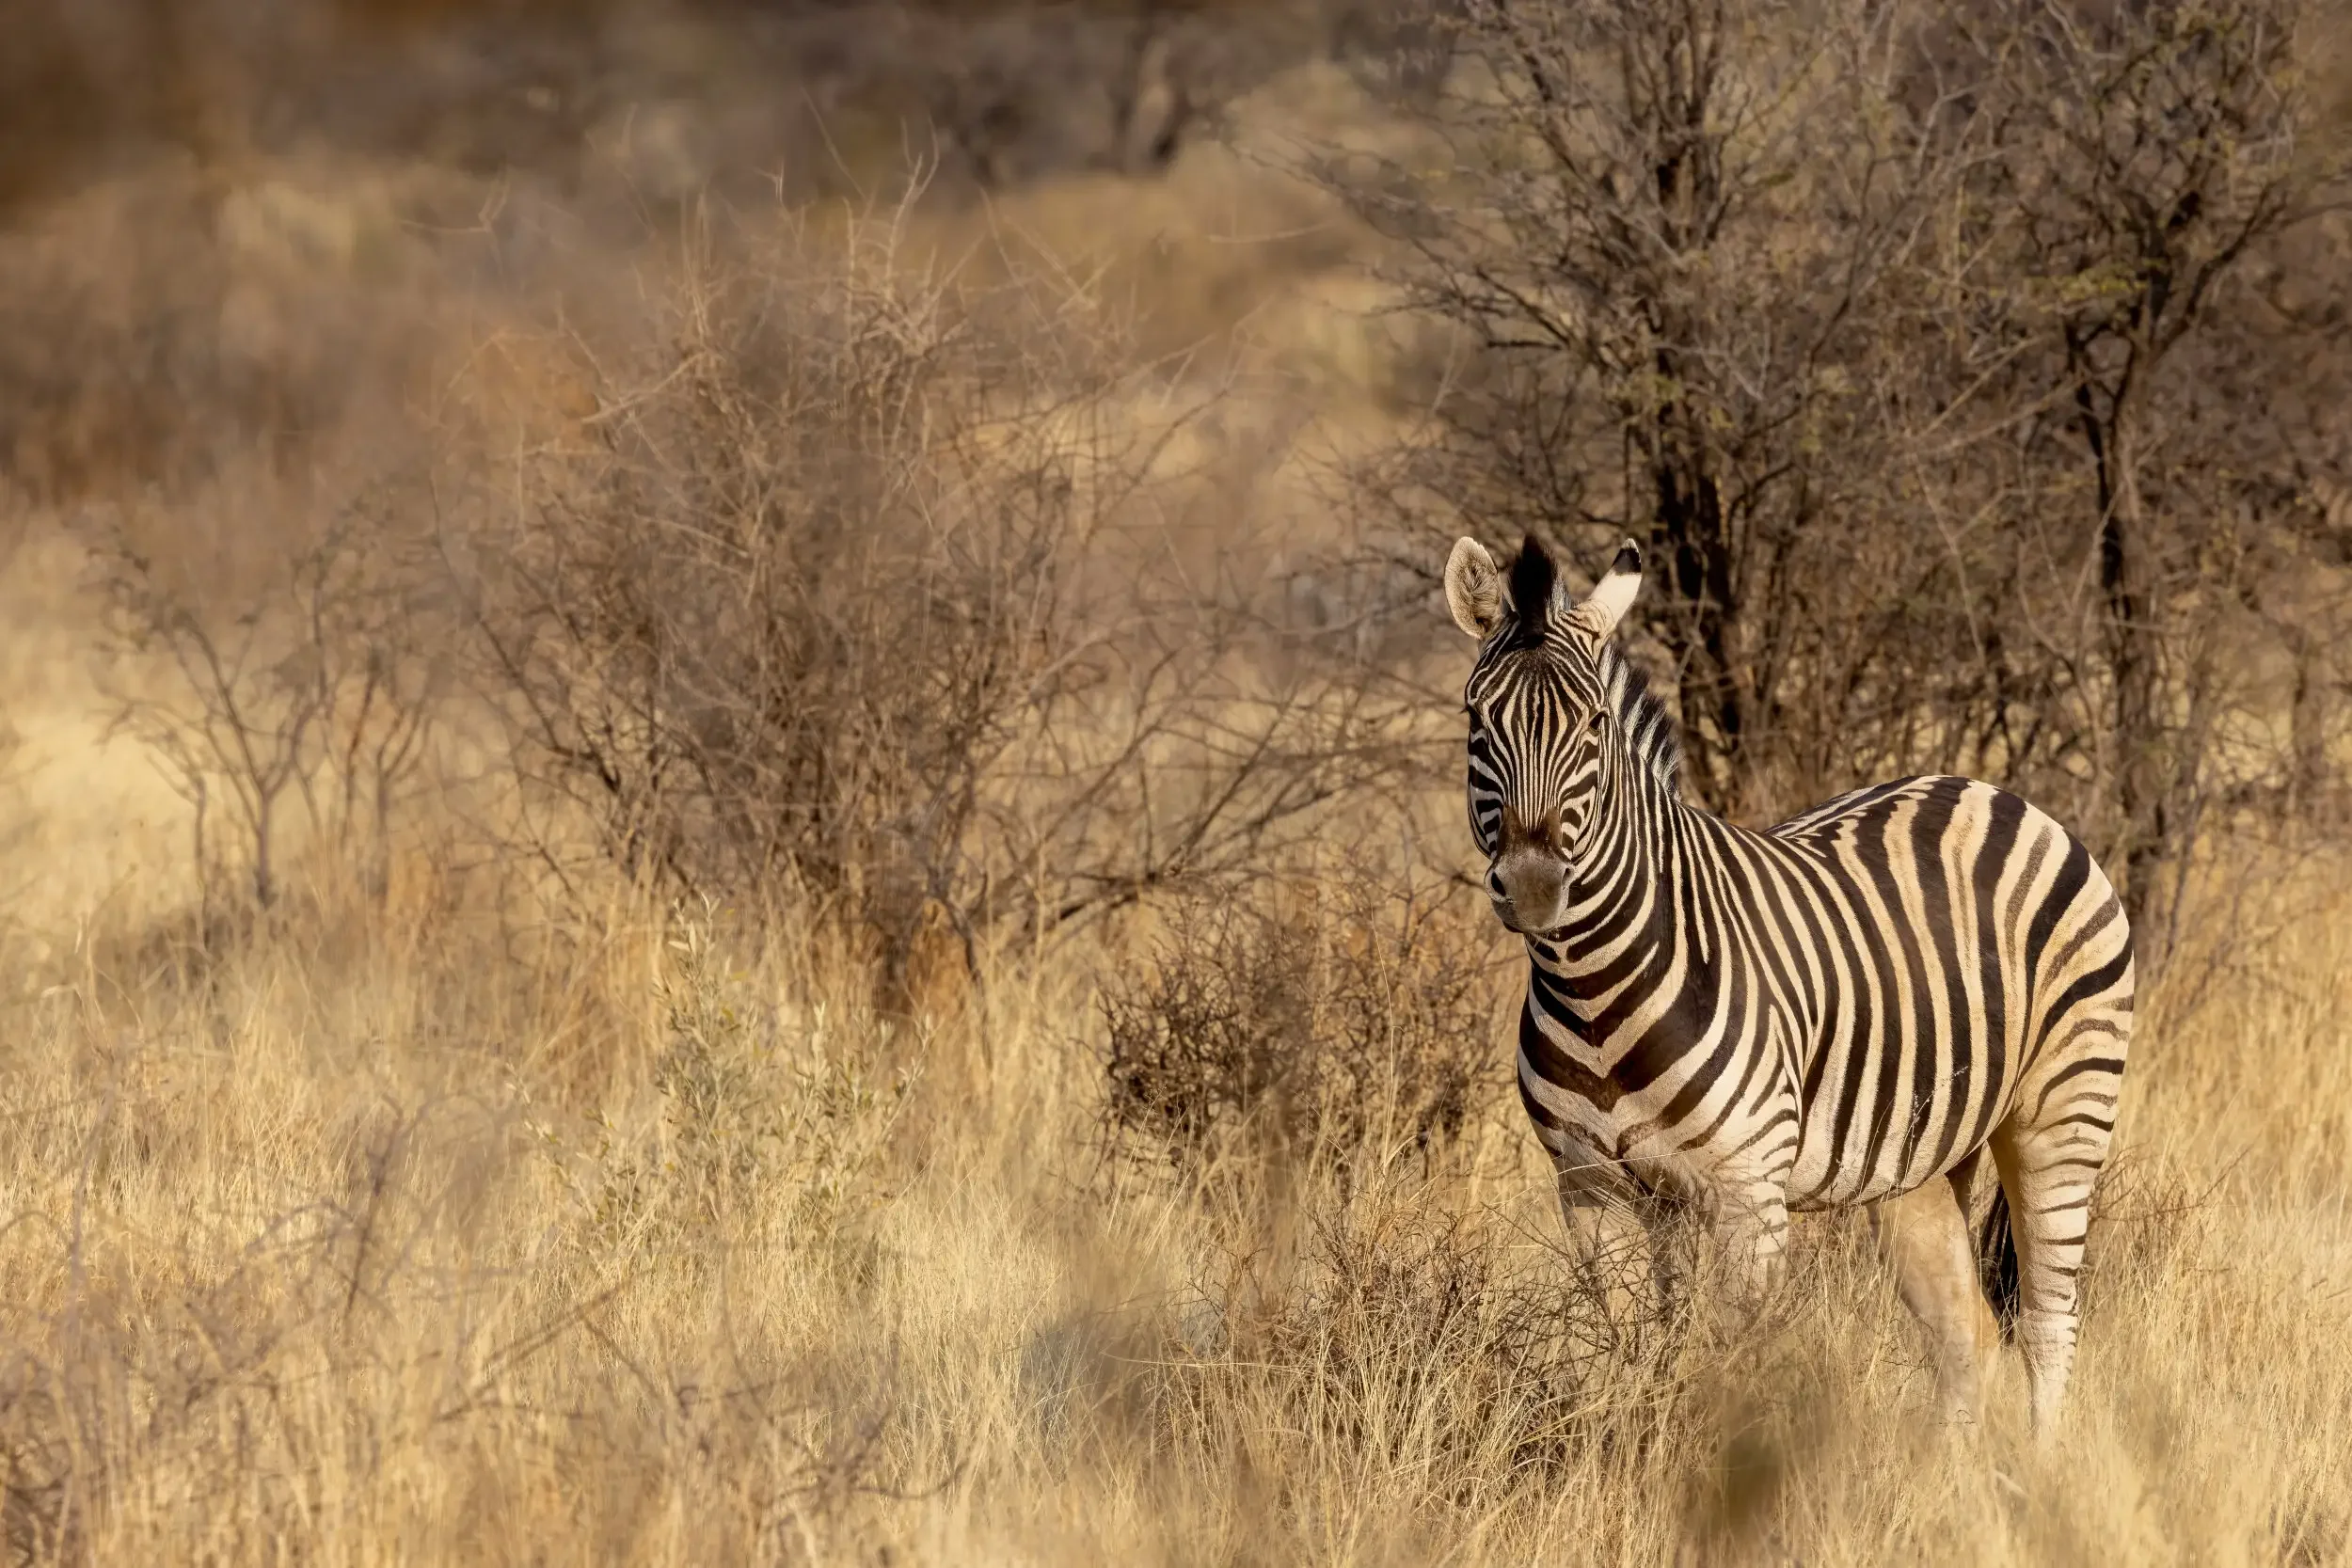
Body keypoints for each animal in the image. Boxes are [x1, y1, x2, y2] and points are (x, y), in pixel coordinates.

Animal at [1443, 532, 2134, 1436]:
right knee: (1966, 1335)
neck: (1593, 991)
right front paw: (1636, 1457)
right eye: (1475, 721)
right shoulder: (1594, 1188)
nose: (1530, 887)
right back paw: (1957, 1481)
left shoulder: (1749, 1197)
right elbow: (1644, 1358)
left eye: (1593, 724)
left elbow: (1725, 1366)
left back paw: (2042, 1472)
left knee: (2051, 1326)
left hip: (2064, 1110)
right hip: (1916, 1161)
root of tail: (1994, 791)